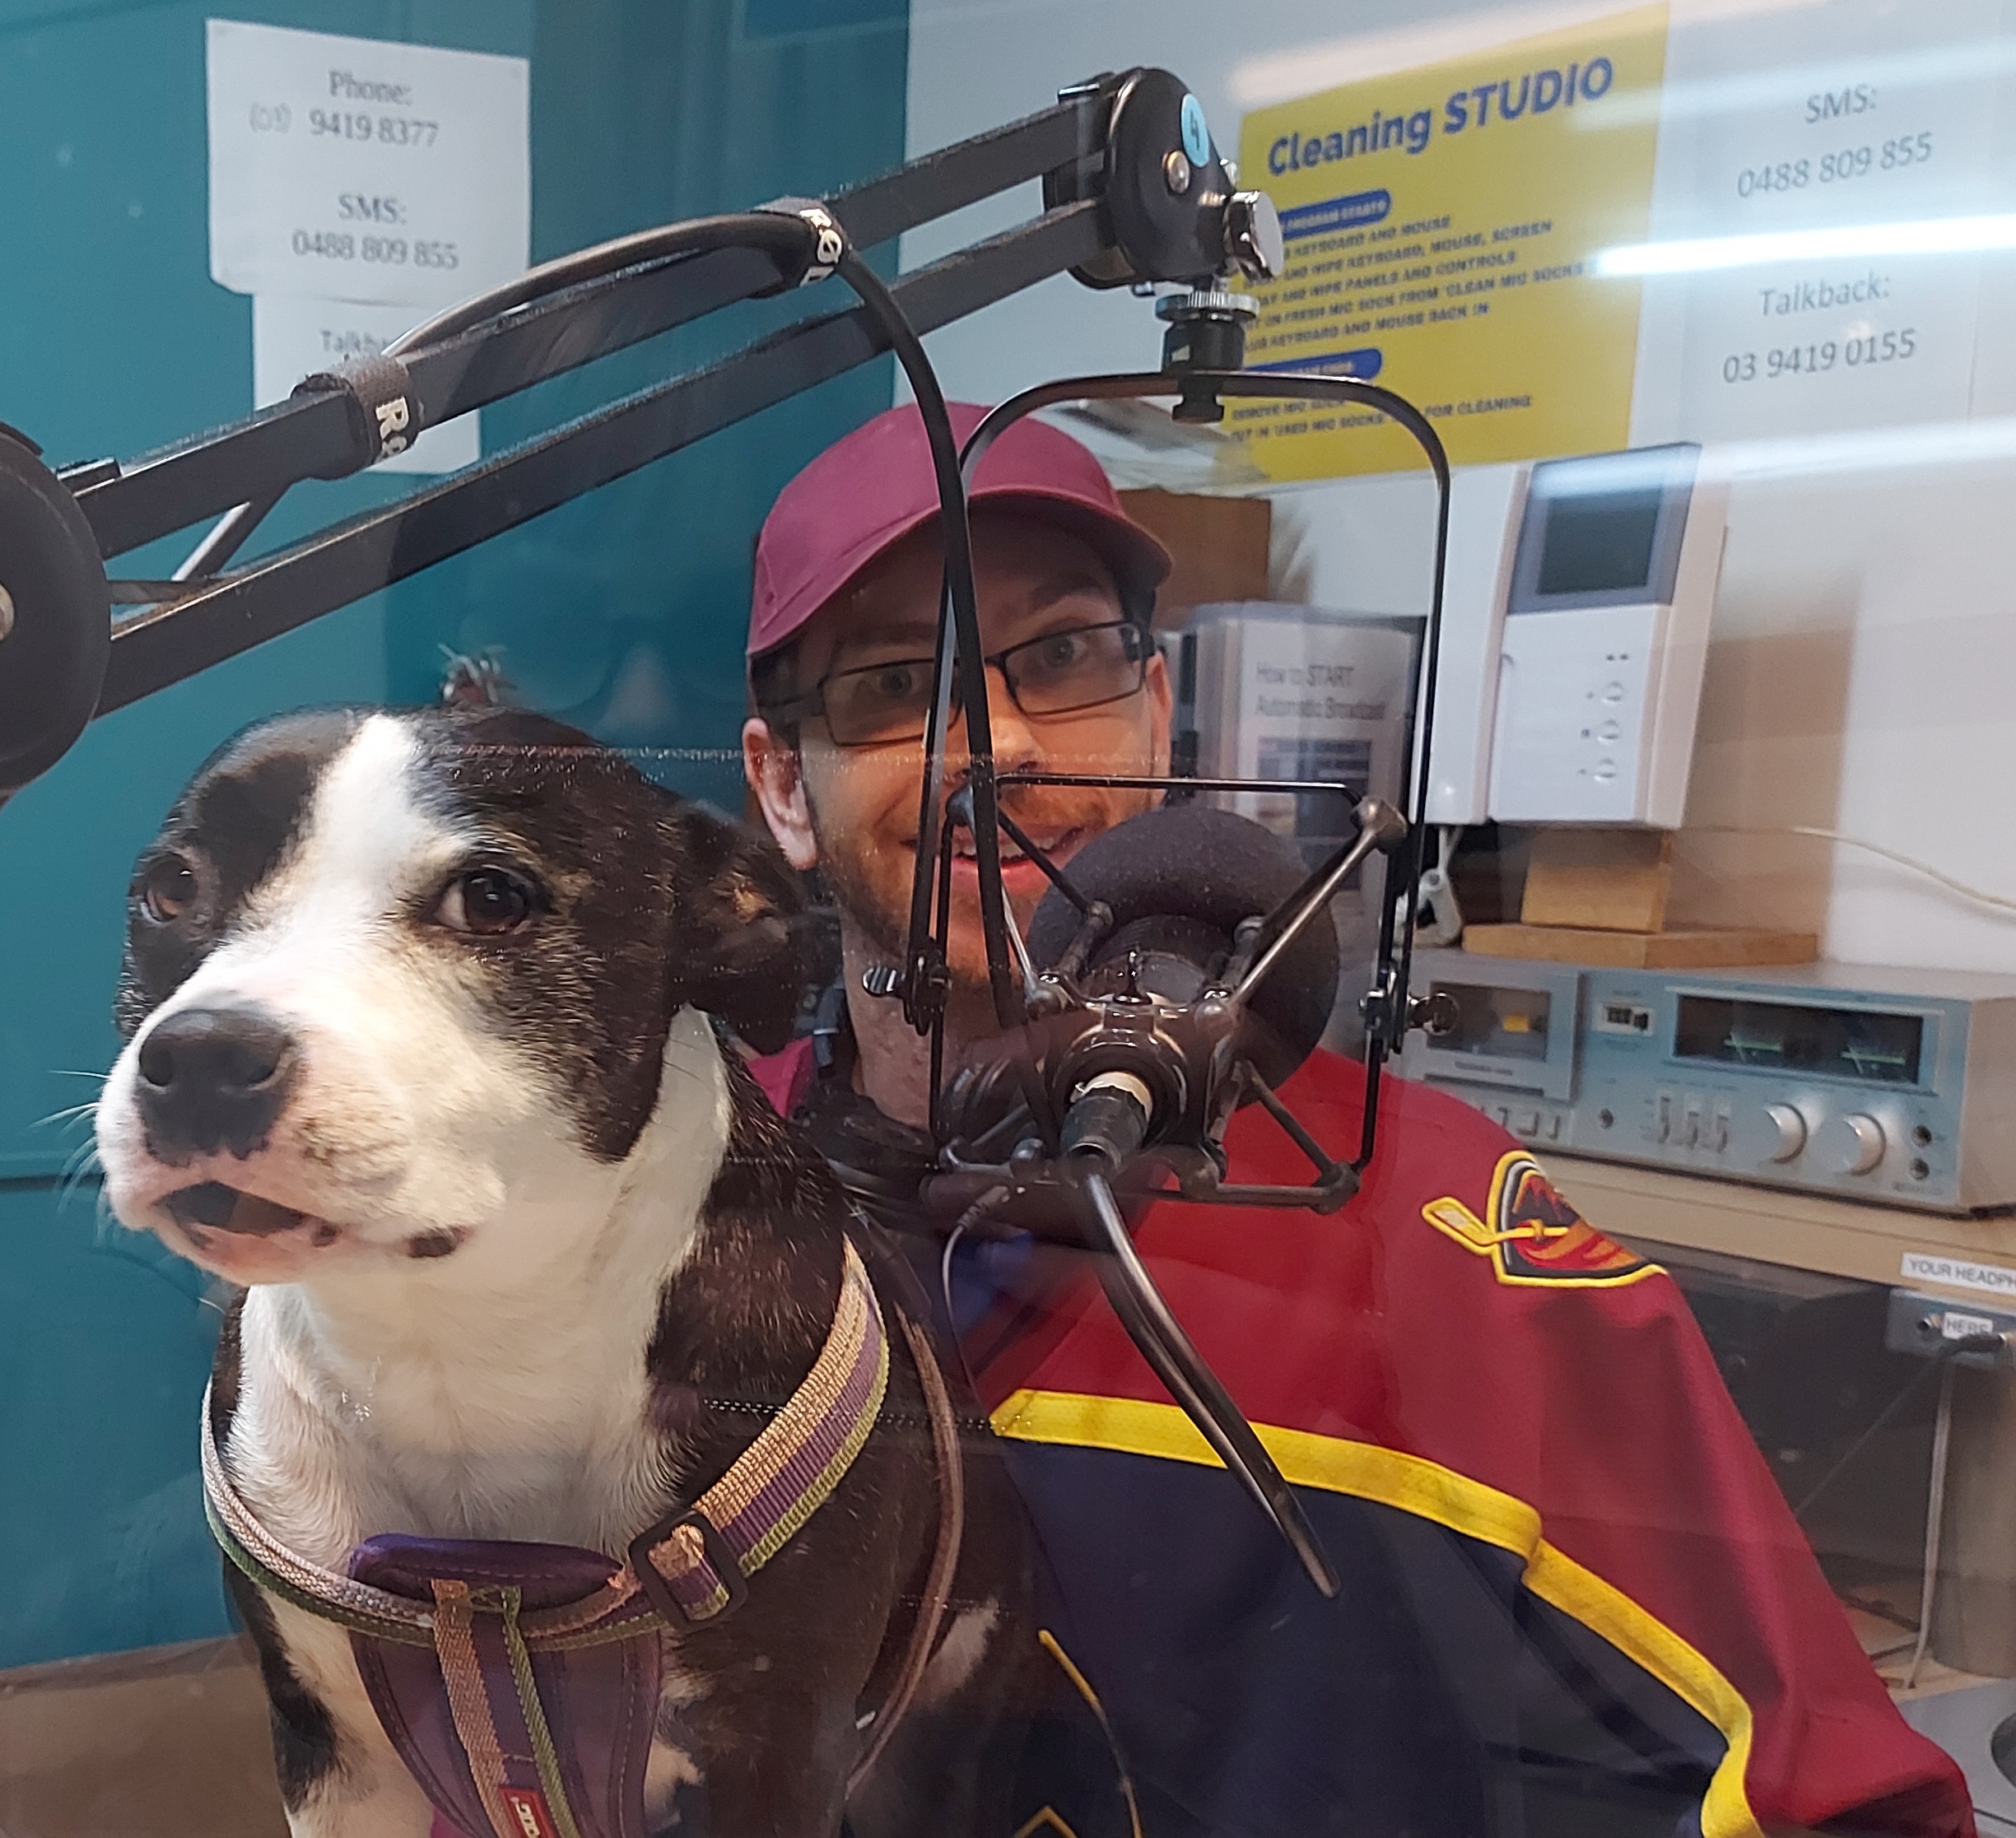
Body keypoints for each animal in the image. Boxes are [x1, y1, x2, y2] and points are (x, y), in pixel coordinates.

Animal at [95, 705, 1008, 1838]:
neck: (461, 1344)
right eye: (170, 890)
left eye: (492, 898)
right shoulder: (334, 1761)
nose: (205, 1054)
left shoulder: (777, 1757)